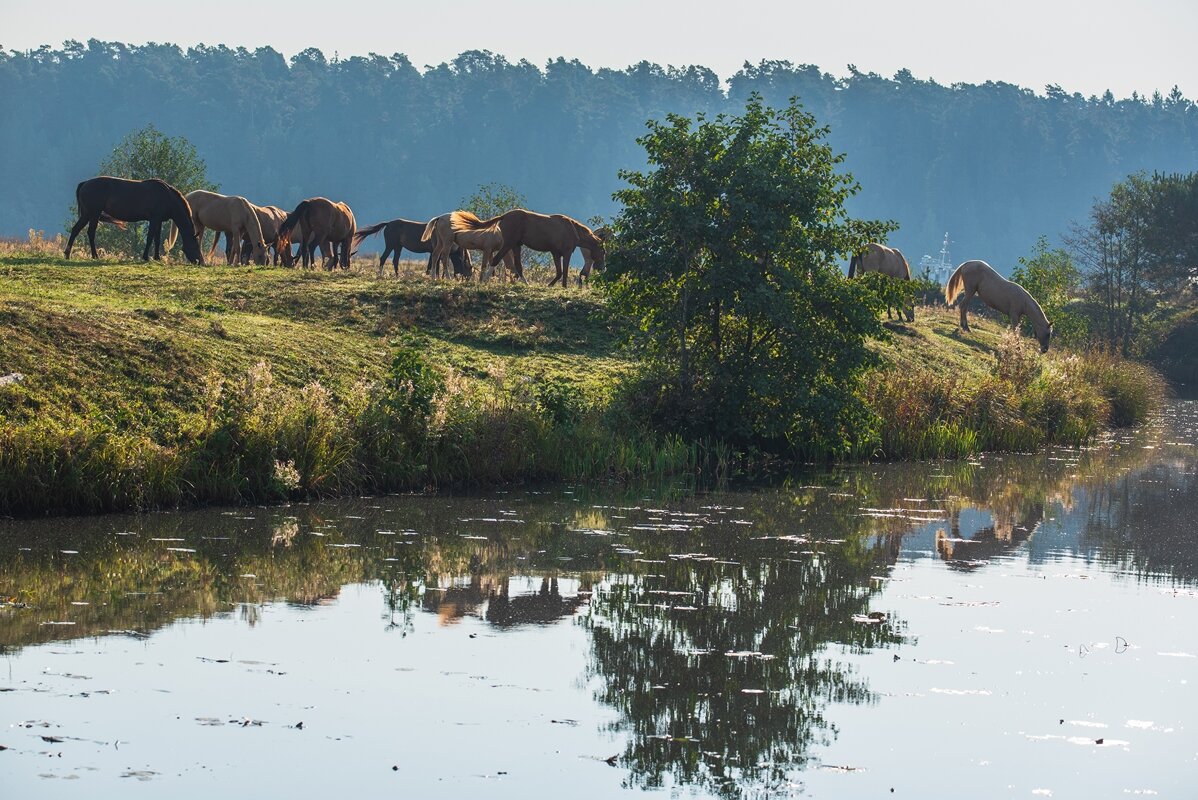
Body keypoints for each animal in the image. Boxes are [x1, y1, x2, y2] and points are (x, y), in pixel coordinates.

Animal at [65, 176, 204, 263]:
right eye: (196, 246)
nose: (201, 262)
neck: (168, 197)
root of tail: (84, 183)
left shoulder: (158, 221)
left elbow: (157, 239)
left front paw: (157, 257)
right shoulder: (154, 219)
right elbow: (150, 238)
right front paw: (146, 257)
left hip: (87, 214)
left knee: (76, 230)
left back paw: (67, 254)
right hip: (93, 214)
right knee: (90, 233)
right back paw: (94, 255)